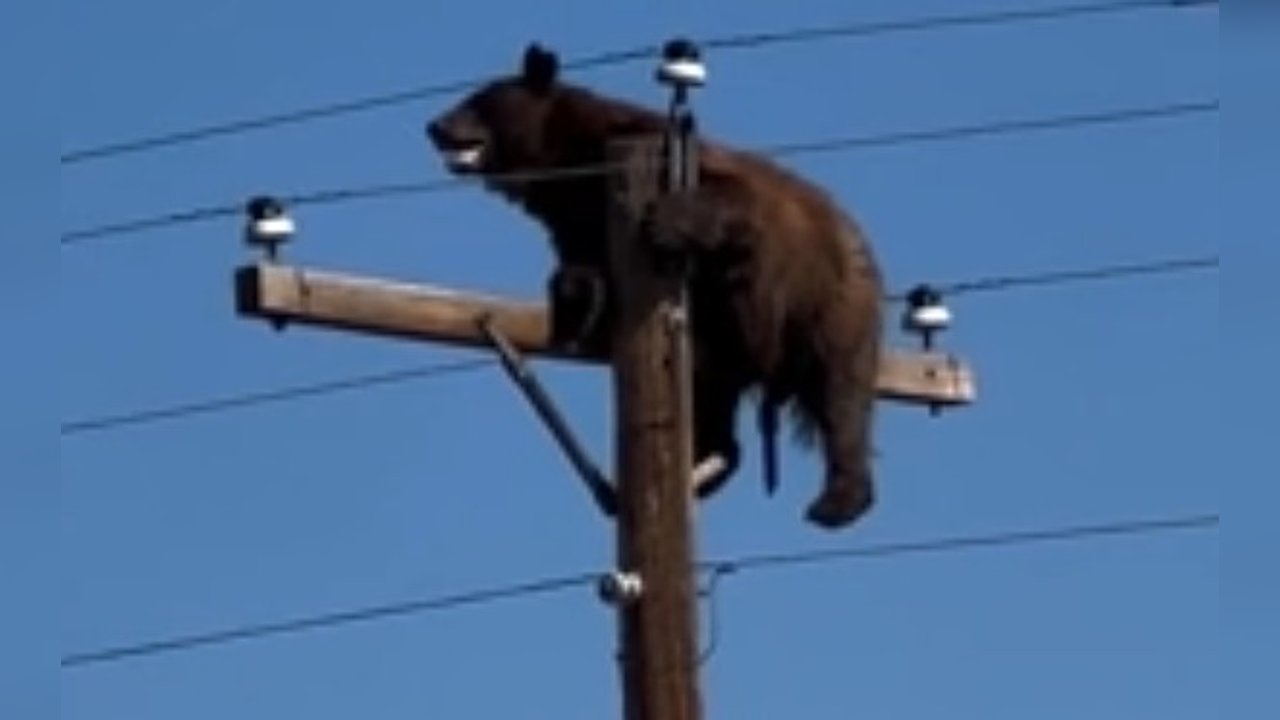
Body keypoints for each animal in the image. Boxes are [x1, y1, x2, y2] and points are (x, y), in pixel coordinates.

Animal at [426, 43, 884, 529]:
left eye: (479, 99)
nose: (435, 126)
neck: (568, 166)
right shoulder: (576, 215)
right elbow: (584, 264)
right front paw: (575, 297)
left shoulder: (670, 156)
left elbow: (728, 197)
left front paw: (667, 223)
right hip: (722, 343)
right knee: (713, 398)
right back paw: (708, 463)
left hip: (826, 300)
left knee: (841, 393)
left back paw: (838, 499)